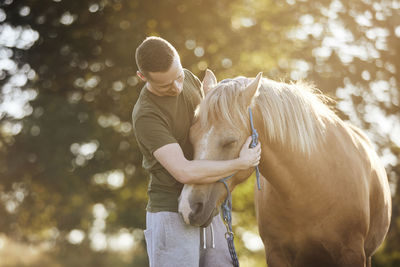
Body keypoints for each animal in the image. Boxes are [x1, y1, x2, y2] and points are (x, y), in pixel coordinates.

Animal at [180, 70, 392, 267]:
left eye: (230, 141)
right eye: (191, 137)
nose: (188, 207)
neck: (309, 188)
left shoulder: (352, 253)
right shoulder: (277, 254)